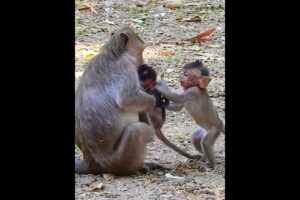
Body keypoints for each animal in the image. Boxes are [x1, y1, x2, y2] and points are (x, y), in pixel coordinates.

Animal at [75, 26, 169, 175]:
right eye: (141, 51)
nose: (142, 63)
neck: (112, 53)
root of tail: (92, 165)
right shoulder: (126, 67)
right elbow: (127, 98)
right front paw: (156, 99)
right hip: (119, 161)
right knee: (138, 130)